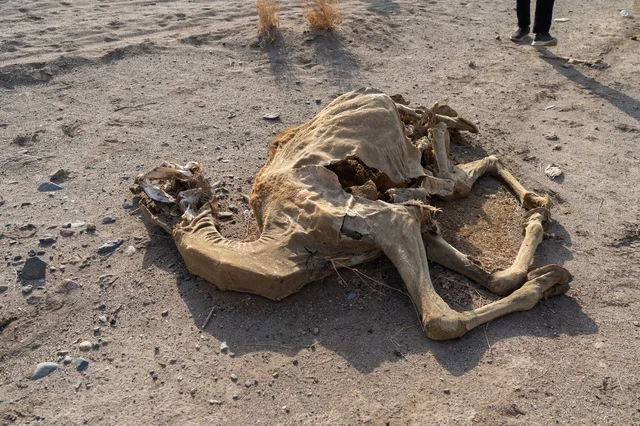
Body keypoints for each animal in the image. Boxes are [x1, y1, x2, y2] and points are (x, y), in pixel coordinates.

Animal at [131, 88, 571, 340]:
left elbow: (440, 321)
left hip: (394, 145)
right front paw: (545, 276)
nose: (139, 189)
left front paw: (546, 279)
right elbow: (492, 281)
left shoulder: (386, 221)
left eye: (170, 187)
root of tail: (372, 92)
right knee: (462, 174)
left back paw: (446, 124)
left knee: (447, 172)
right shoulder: (391, 225)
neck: (276, 247)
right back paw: (535, 205)